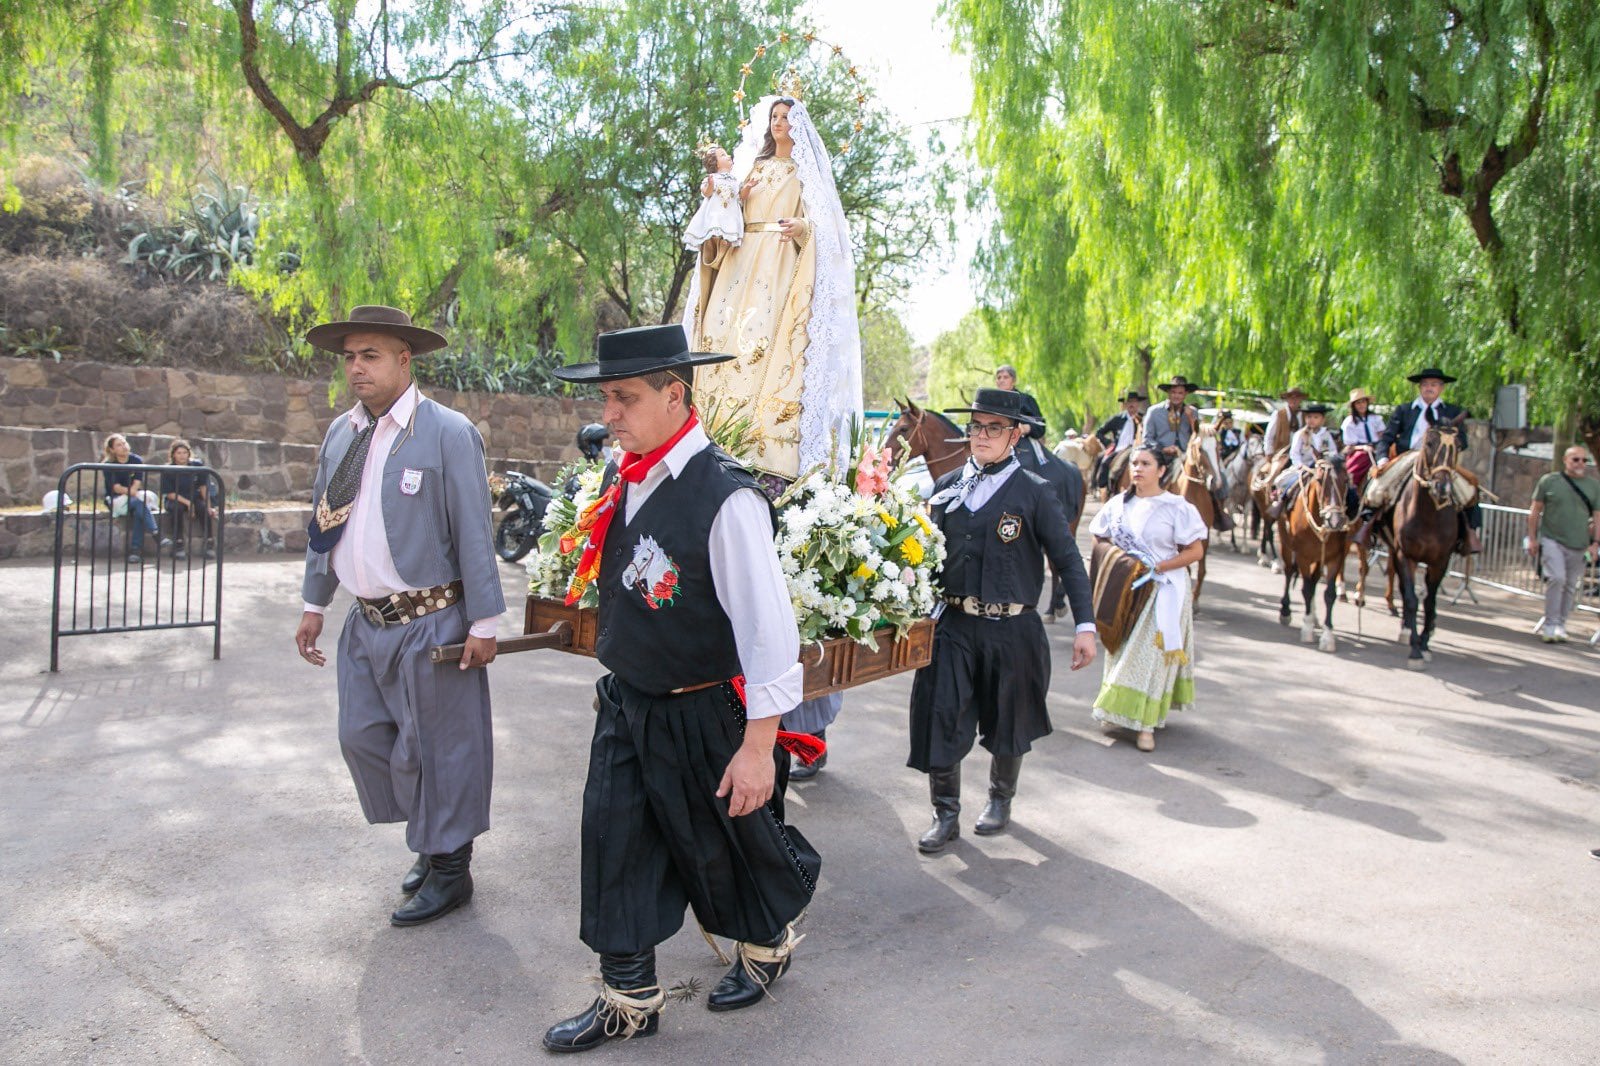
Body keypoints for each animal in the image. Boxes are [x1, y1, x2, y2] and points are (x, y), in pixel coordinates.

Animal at [1273, 454, 1350, 653]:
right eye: (1320, 480)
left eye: (1346, 480)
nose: (1335, 521)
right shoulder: (1304, 556)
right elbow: (1306, 589)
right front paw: (1307, 628)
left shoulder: (1335, 557)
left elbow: (1329, 594)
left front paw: (1328, 636)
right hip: (1286, 544)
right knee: (1290, 573)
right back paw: (1286, 611)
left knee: (1314, 581)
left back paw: (1314, 617)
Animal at [1382, 428, 1465, 669]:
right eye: (1429, 443)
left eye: (1458, 445)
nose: (1442, 488)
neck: (1428, 516)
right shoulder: (1405, 555)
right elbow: (1411, 599)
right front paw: (1415, 649)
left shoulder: (1440, 561)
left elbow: (1430, 602)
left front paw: (1425, 642)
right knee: (1403, 589)